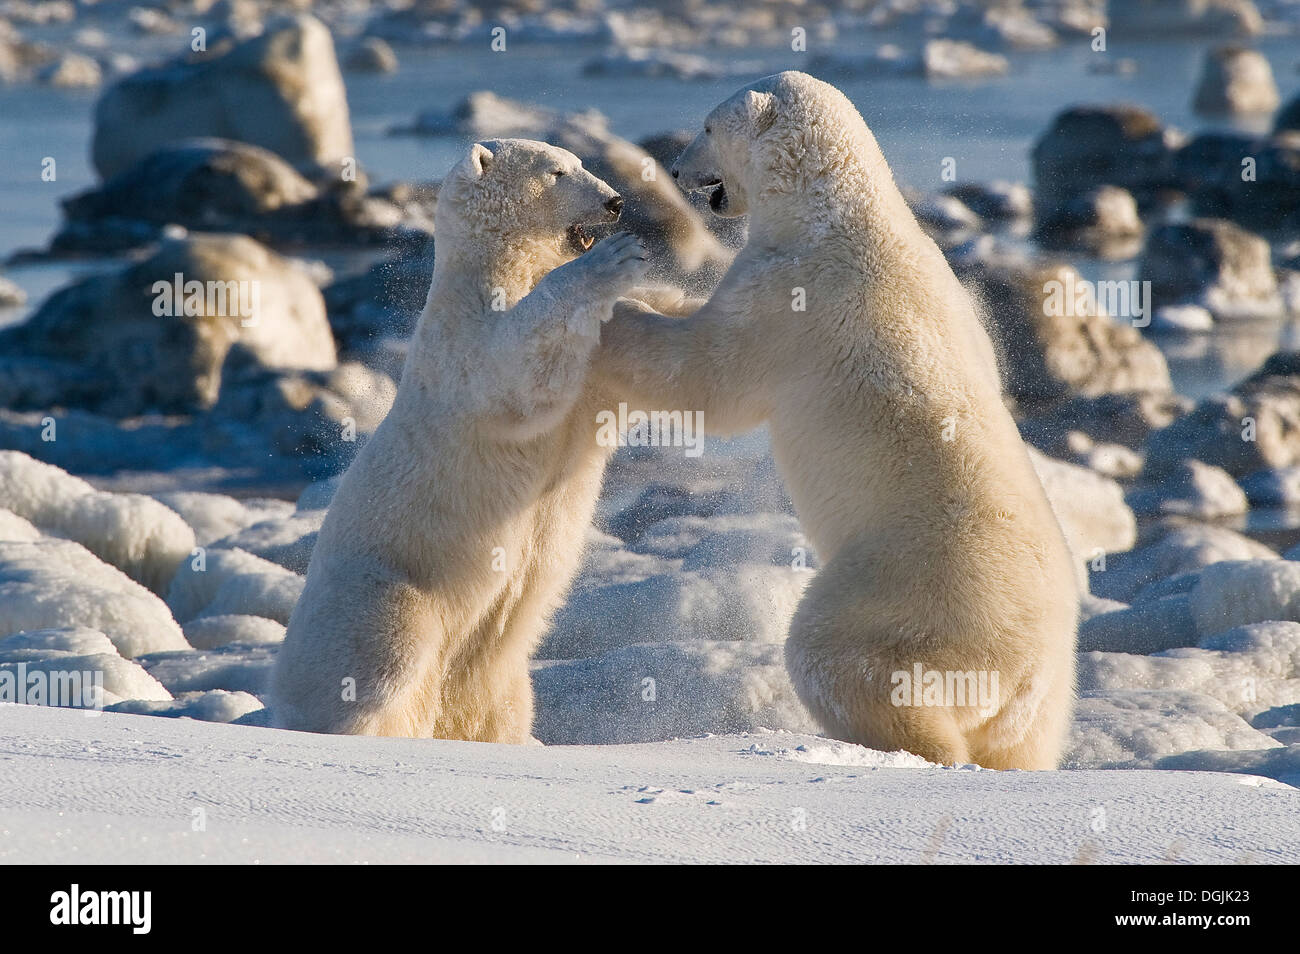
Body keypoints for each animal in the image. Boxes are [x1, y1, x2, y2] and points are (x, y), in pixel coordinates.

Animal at [271, 138, 647, 743]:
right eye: (558, 171)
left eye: (579, 162)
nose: (615, 202)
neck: (492, 273)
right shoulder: (459, 346)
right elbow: (511, 368)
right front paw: (615, 260)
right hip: (385, 589)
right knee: (384, 656)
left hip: (498, 671)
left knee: (495, 695)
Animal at [595, 72, 1076, 769]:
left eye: (708, 127)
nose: (679, 170)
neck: (839, 213)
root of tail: (1023, 670)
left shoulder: (792, 296)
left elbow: (710, 378)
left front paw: (617, 311)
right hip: (1045, 696)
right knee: (1019, 742)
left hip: (906, 592)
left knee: (842, 658)